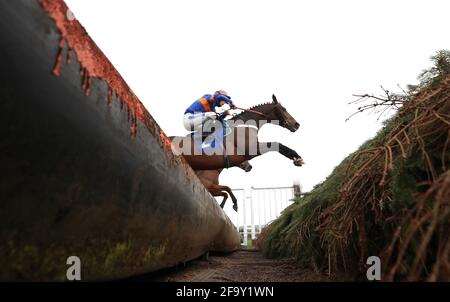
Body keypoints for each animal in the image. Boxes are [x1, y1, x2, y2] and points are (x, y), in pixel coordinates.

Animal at [171, 94, 304, 170]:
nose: (296, 124)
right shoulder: (251, 149)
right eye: (284, 109)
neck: (244, 124)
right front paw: (297, 157)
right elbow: (277, 144)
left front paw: (296, 158)